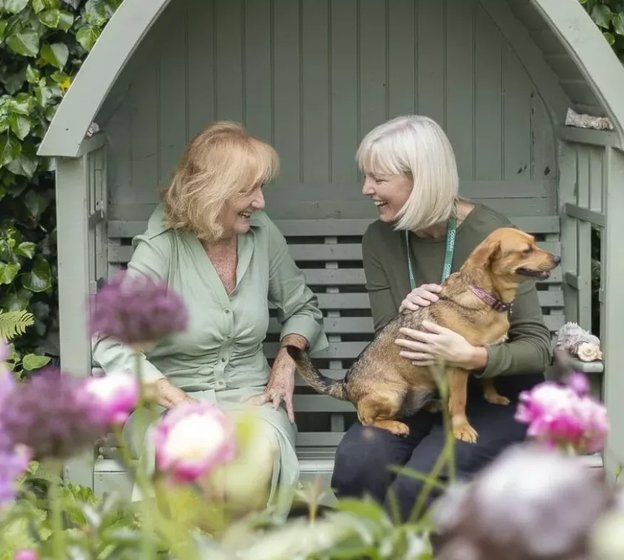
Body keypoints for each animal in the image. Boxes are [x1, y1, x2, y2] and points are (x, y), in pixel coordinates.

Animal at [288, 226, 560, 442]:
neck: (484, 297)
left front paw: (492, 397)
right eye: (526, 251)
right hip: (393, 394)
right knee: (366, 418)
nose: (557, 258)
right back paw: (395, 425)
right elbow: (460, 402)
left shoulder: (487, 352)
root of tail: (345, 385)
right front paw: (461, 429)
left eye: (534, 242)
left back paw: (434, 404)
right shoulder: (457, 369)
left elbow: (489, 378)